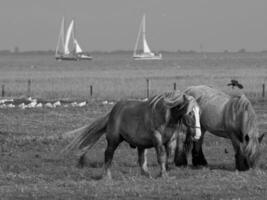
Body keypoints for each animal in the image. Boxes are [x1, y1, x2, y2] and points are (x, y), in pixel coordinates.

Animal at [62, 91, 201, 179]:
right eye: (190, 113)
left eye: (199, 112)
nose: (198, 135)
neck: (164, 116)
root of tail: (113, 111)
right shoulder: (157, 140)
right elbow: (161, 156)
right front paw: (163, 175)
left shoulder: (171, 140)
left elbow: (169, 158)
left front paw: (164, 172)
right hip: (113, 140)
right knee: (108, 154)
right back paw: (107, 176)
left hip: (141, 145)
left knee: (141, 160)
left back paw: (146, 174)